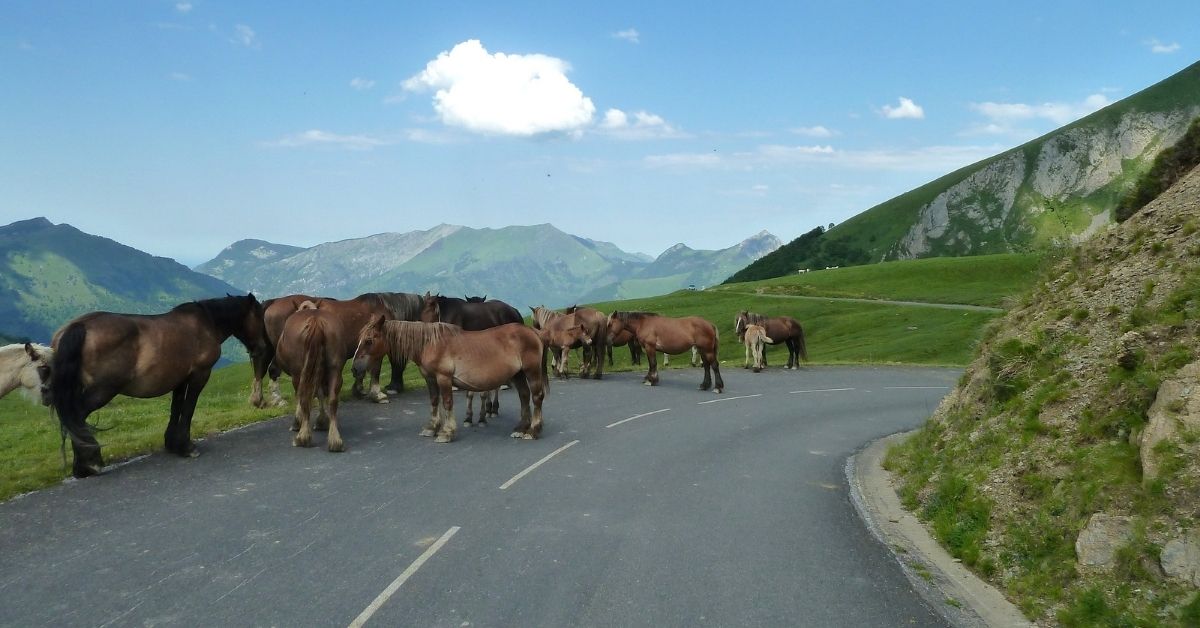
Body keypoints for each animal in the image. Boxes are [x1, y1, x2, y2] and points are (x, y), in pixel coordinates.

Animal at [50, 294, 268, 477]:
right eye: (259, 317)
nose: (263, 347)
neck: (207, 324)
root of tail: (80, 326)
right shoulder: (199, 375)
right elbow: (188, 409)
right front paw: (186, 447)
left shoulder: (180, 379)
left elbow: (176, 408)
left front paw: (172, 443)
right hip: (103, 390)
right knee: (77, 416)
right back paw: (88, 464)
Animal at [273, 302, 348, 449]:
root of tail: (316, 321)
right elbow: (320, 394)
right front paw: (322, 421)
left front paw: (298, 422)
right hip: (335, 369)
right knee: (332, 399)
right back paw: (335, 440)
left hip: (299, 373)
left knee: (303, 397)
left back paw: (302, 437)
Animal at [350, 319, 549, 441]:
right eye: (359, 339)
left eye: (369, 340)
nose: (354, 368)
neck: (430, 343)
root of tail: (533, 332)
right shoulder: (430, 379)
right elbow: (434, 401)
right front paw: (432, 428)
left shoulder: (443, 378)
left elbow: (447, 403)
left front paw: (446, 432)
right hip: (518, 374)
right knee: (524, 396)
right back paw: (521, 428)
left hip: (531, 371)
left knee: (536, 397)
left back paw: (533, 430)